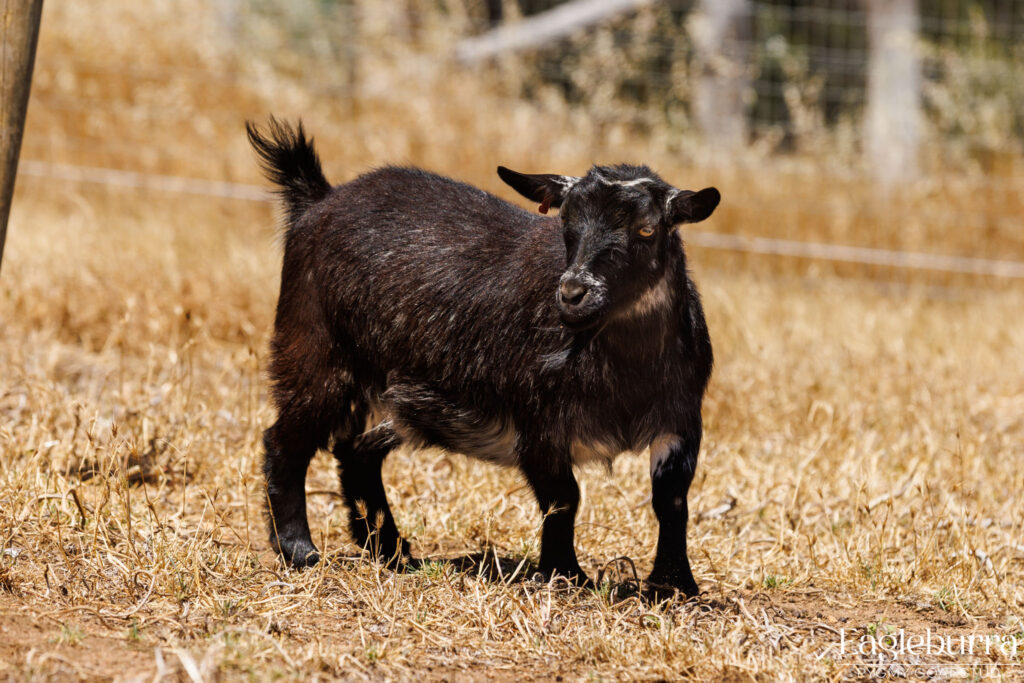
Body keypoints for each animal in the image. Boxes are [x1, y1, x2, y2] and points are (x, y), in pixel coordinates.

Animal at [247, 118, 720, 598]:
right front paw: (566, 576)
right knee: (285, 441)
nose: (572, 293)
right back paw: (300, 550)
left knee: (356, 452)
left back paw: (391, 550)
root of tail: (317, 200)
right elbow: (562, 498)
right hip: (315, 352)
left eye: (646, 229)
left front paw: (675, 585)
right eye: (567, 222)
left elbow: (671, 500)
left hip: (399, 395)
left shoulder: (681, 420)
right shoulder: (539, 421)